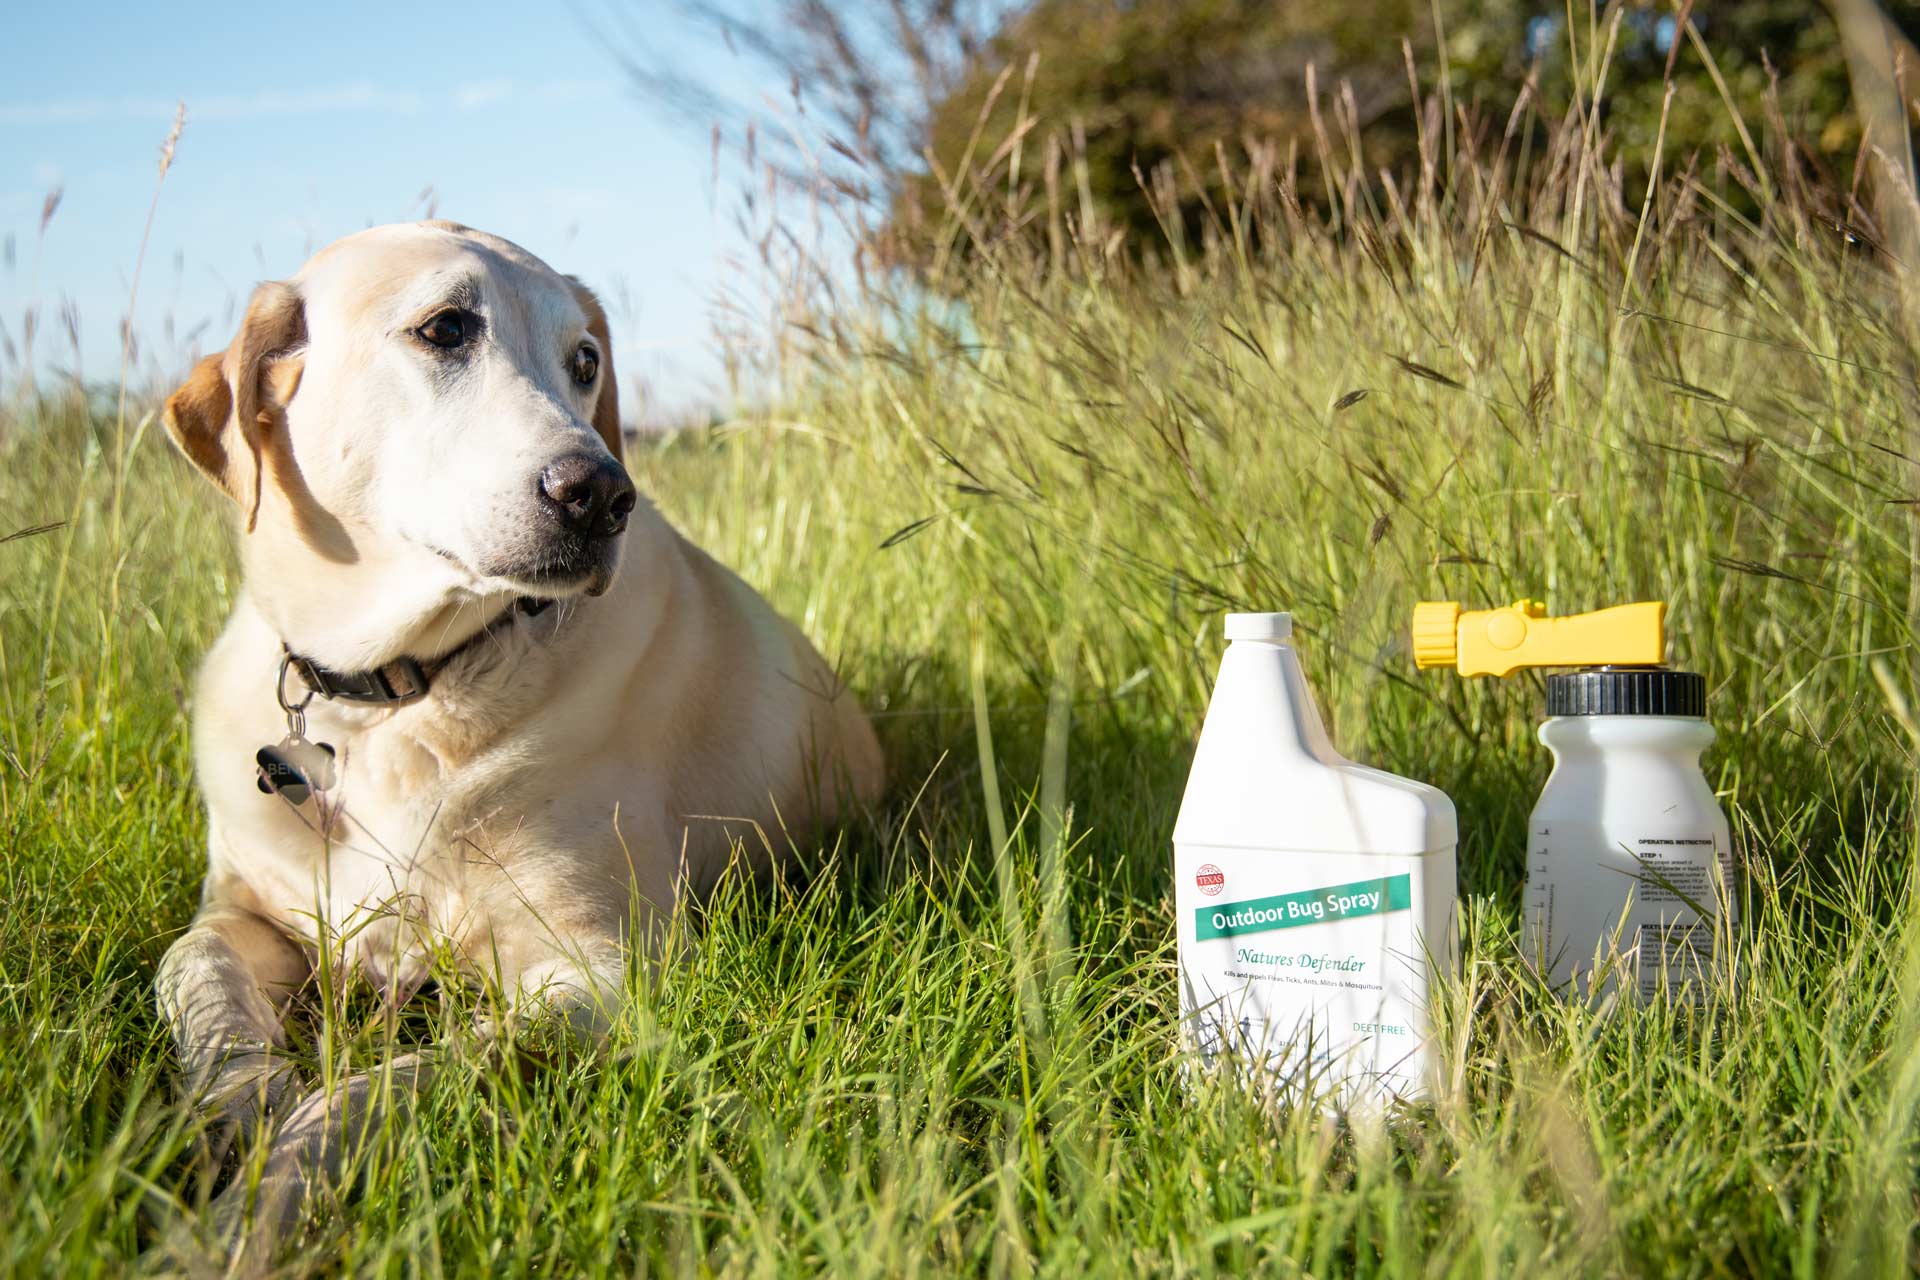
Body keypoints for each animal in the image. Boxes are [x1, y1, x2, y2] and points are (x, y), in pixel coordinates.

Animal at [157, 220, 883, 1243]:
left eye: (585, 362)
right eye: (445, 328)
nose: (602, 494)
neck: (392, 698)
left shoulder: (603, 970)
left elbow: (390, 1082)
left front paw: (268, 1198)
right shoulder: (242, 910)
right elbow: (192, 975)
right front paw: (242, 1107)